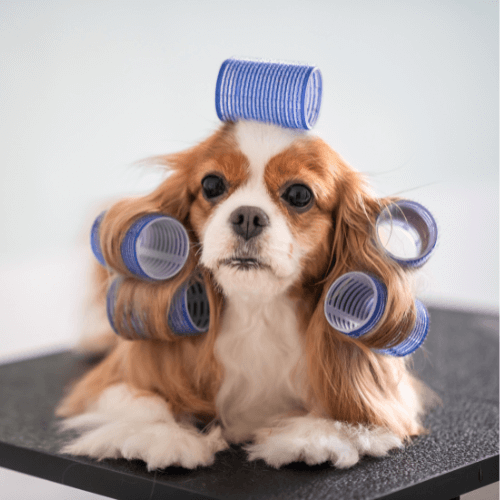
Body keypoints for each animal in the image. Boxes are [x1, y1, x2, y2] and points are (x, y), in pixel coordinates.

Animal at [56, 120, 434, 468]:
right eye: (212, 184)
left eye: (299, 195)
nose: (248, 216)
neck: (258, 312)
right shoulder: (105, 384)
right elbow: (146, 402)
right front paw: (164, 435)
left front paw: (317, 435)